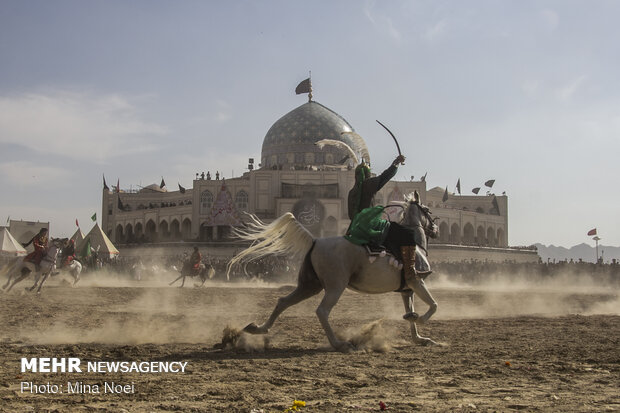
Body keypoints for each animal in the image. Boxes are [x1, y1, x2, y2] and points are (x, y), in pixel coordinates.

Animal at [229, 192, 440, 350]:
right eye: (428, 210)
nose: (436, 229)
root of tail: (315, 240)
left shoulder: (407, 289)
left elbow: (411, 312)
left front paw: (420, 337)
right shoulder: (417, 281)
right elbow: (433, 305)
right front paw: (420, 319)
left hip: (309, 285)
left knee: (283, 302)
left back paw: (258, 329)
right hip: (335, 286)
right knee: (322, 311)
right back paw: (339, 344)